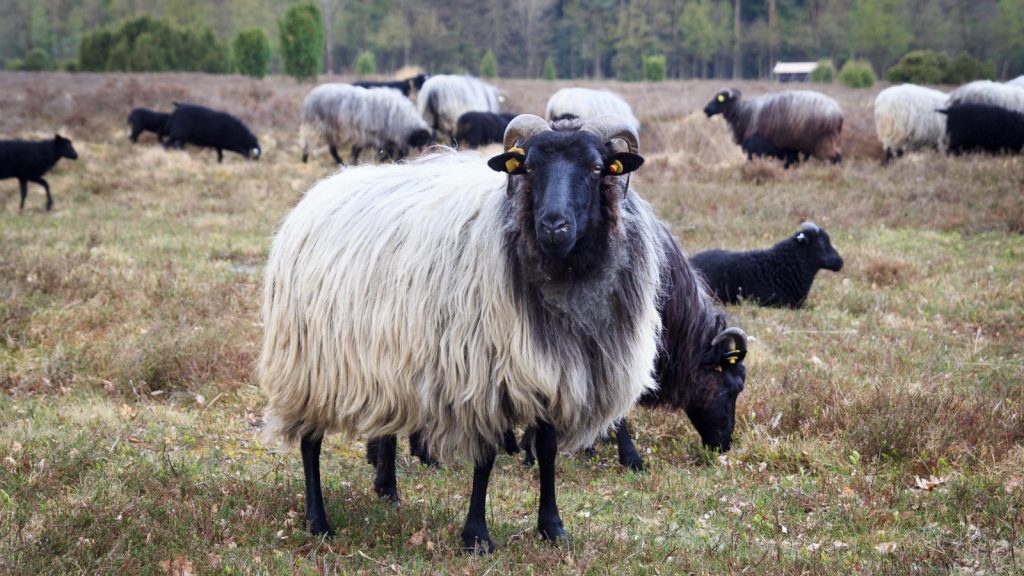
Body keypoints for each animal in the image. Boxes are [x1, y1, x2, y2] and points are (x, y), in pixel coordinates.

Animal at [260, 114, 665, 553]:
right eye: (529, 167)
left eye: (595, 168)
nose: (553, 225)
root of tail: (316, 194)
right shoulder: (483, 375)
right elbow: (485, 459)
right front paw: (477, 535)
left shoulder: (551, 370)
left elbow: (547, 450)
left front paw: (551, 527)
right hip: (309, 364)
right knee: (310, 442)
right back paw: (318, 522)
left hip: (382, 355)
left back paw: (388, 490)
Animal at [300, 84, 433, 165]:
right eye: (424, 140)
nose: (427, 154)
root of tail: (310, 97)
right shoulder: (369, 136)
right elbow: (363, 151)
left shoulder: (380, 138)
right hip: (319, 128)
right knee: (310, 143)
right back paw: (306, 159)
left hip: (330, 131)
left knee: (330, 148)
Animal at [703, 88, 843, 165]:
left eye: (718, 99)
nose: (706, 110)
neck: (743, 113)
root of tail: (838, 113)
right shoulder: (788, 149)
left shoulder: (755, 147)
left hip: (824, 142)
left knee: (837, 159)